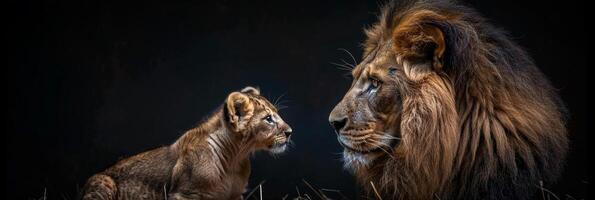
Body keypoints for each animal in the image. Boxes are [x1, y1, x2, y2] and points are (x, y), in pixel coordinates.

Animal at [83, 86, 294, 199]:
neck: (235, 157)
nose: (290, 132)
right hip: (104, 182)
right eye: (268, 119)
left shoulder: (235, 195)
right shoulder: (184, 194)